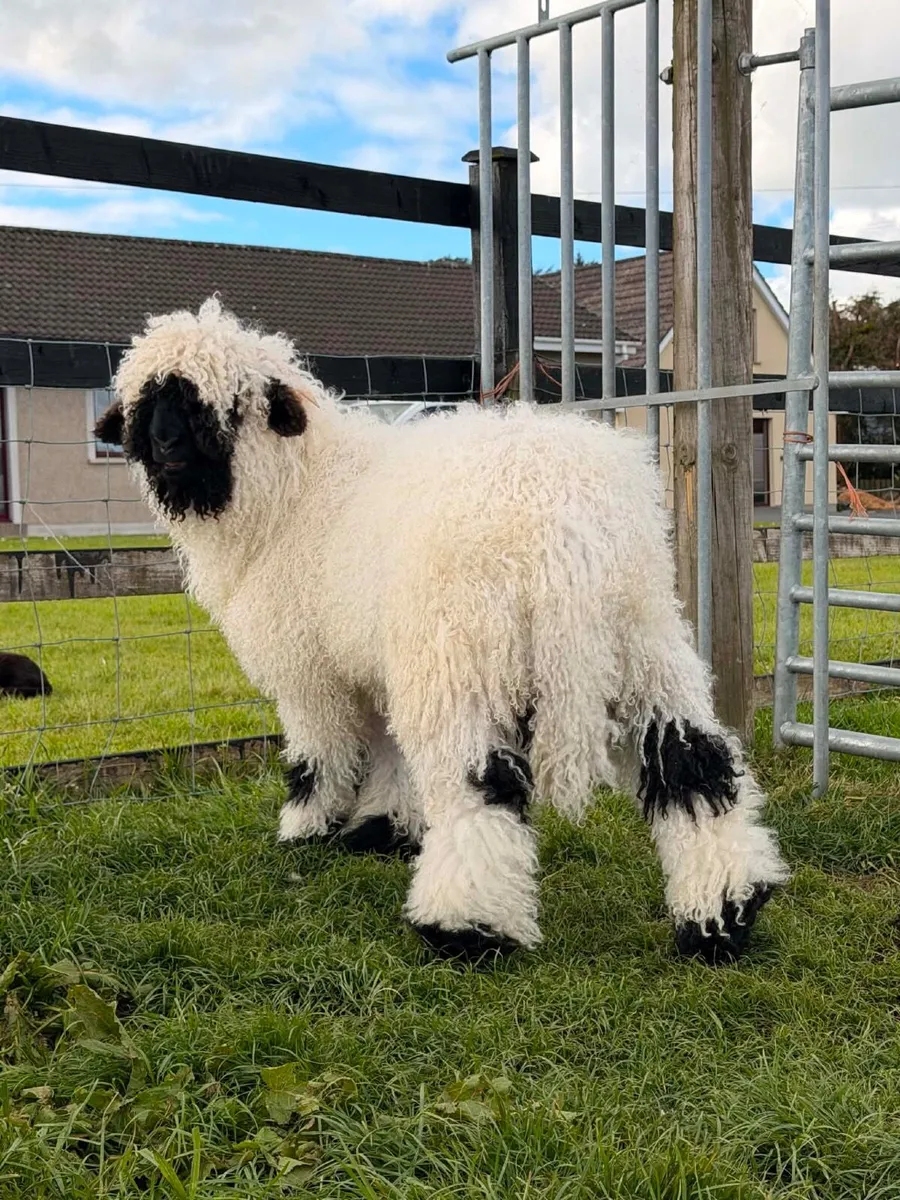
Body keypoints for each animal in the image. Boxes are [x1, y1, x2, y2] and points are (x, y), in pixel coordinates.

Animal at [95, 297, 789, 964]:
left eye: (225, 406)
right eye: (144, 403)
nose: (164, 447)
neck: (293, 493)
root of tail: (560, 517)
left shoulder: (312, 672)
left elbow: (321, 753)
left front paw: (307, 826)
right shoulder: (374, 660)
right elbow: (387, 750)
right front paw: (383, 827)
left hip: (462, 658)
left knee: (479, 788)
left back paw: (465, 929)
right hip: (643, 643)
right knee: (691, 762)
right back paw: (724, 914)